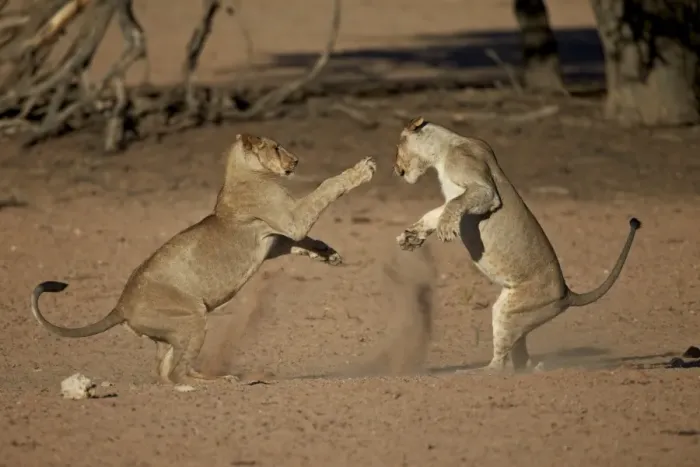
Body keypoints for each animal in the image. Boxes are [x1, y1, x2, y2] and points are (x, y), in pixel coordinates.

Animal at [31, 133, 377, 385]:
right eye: (277, 147)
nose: (296, 160)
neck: (245, 174)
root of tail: (121, 305)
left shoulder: (277, 237)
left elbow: (301, 242)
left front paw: (328, 253)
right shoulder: (290, 219)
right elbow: (325, 189)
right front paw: (361, 170)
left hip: (170, 333)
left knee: (164, 370)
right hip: (193, 316)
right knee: (177, 371)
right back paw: (214, 381)